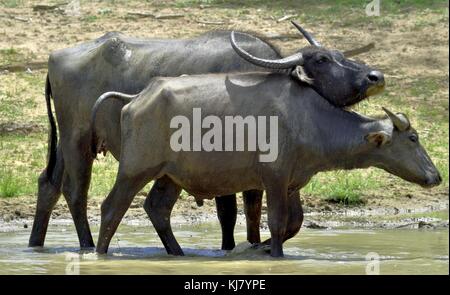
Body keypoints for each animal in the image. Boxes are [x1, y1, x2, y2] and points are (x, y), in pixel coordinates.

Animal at [29, 22, 384, 250]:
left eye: (340, 53)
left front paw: (254, 245)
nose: (375, 76)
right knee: (76, 191)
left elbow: (261, 214)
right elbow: (230, 214)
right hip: (77, 139)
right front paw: (232, 248)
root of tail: (55, 58)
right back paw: (88, 246)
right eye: (323, 59)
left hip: (67, 144)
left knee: (49, 185)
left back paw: (36, 244)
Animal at [93, 70, 442, 258]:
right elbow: (275, 223)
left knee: (157, 209)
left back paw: (178, 254)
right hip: (135, 170)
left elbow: (293, 224)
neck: (310, 119)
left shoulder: (293, 183)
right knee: (111, 209)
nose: (436, 176)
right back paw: (99, 253)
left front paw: (255, 249)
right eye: (413, 138)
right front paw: (272, 253)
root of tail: (137, 98)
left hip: (170, 176)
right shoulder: (273, 179)